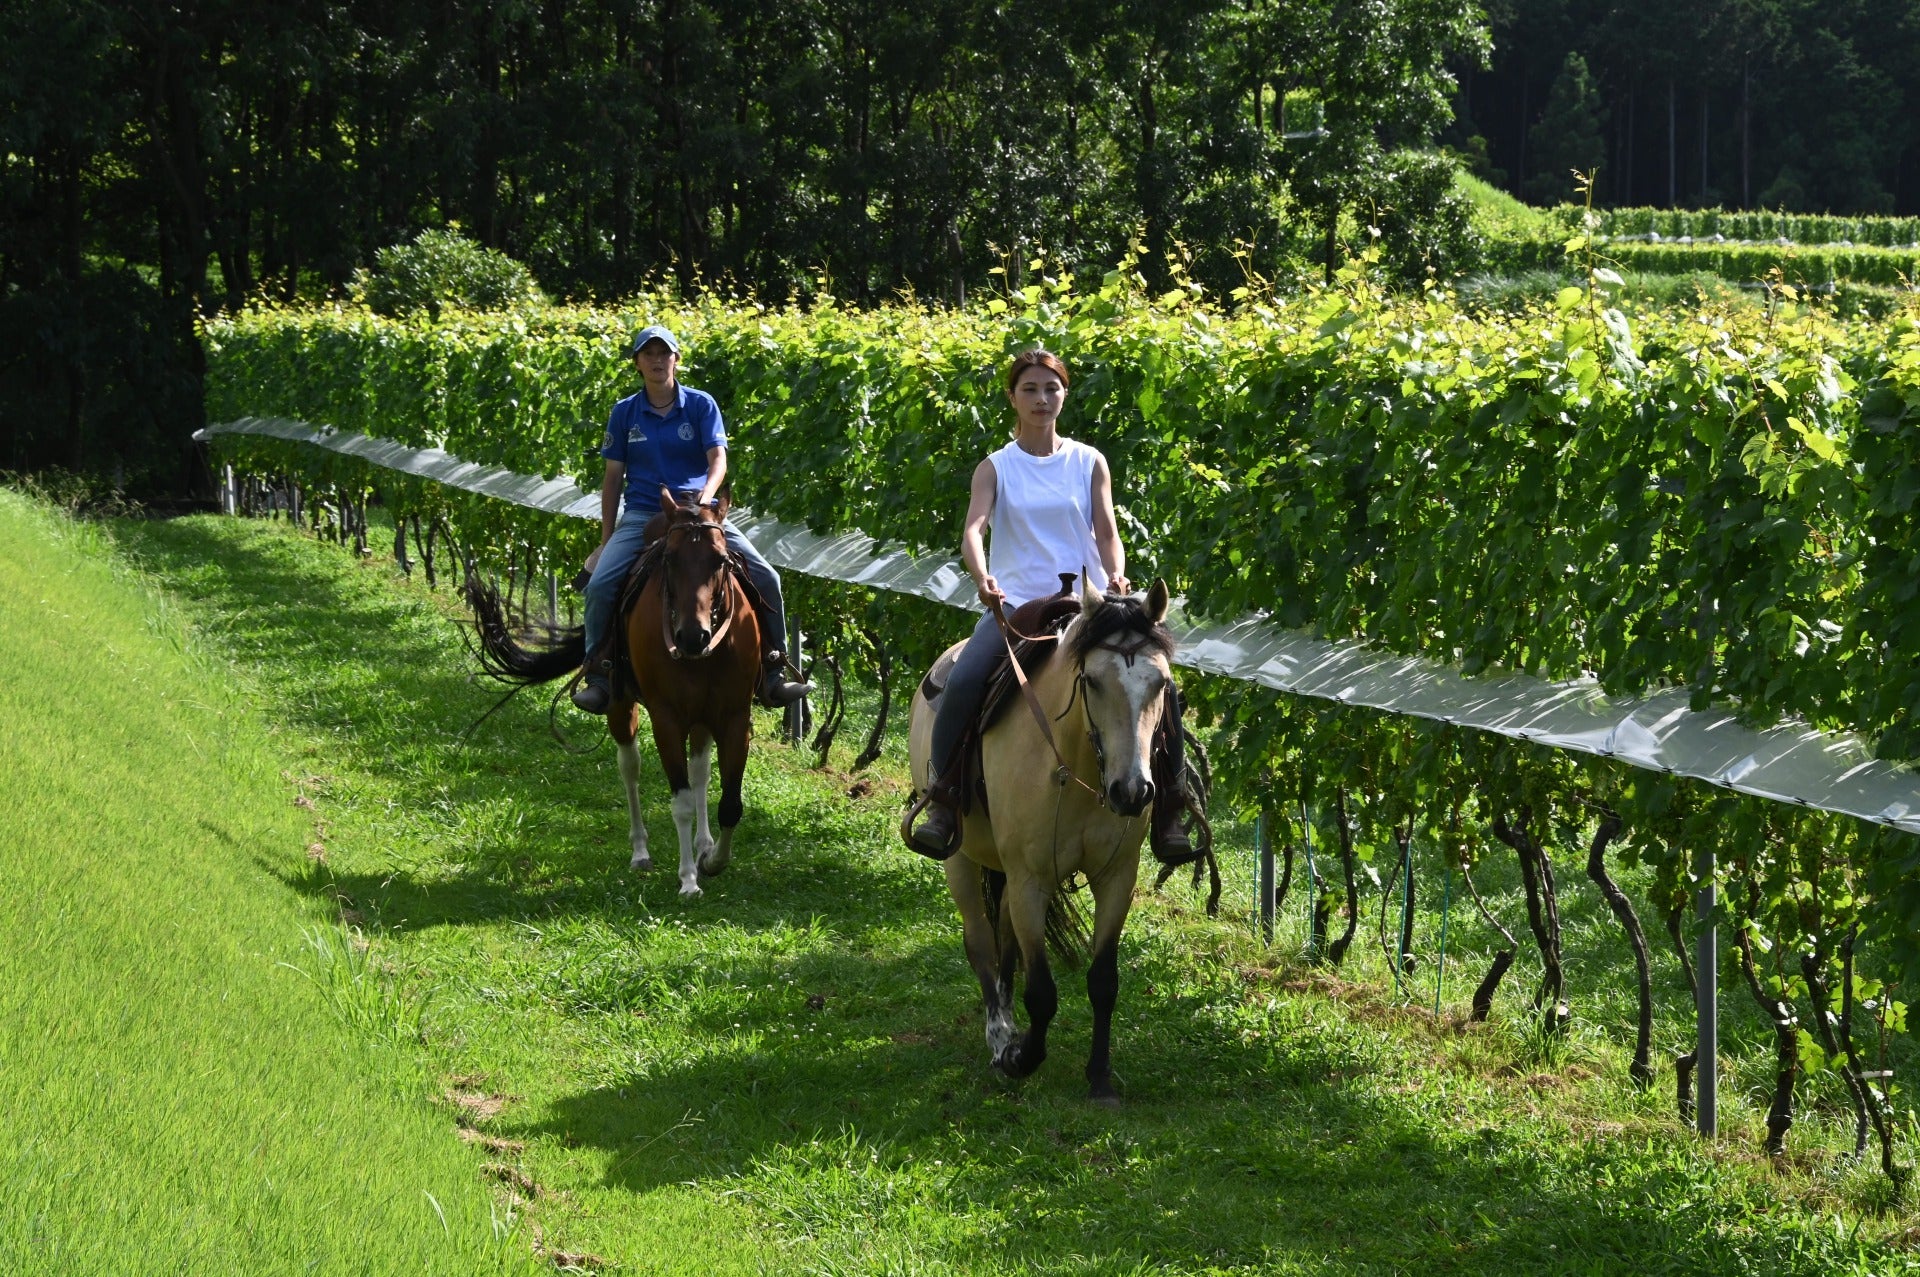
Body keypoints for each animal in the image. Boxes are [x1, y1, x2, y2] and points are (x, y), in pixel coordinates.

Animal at [464, 487, 756, 894]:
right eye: (669, 559)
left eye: (720, 560)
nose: (692, 637)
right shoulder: (666, 719)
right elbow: (679, 802)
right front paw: (688, 879)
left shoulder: (734, 717)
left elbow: (730, 802)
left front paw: (712, 860)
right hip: (621, 706)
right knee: (630, 768)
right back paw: (641, 852)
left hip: (700, 718)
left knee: (699, 772)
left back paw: (703, 844)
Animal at [906, 576, 1175, 1098]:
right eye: (1092, 681)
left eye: (1161, 683)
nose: (1132, 791)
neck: (1077, 766)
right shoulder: (1031, 880)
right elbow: (1043, 992)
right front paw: (1019, 1058)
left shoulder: (1116, 879)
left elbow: (1103, 981)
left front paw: (1100, 1078)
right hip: (961, 860)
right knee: (981, 942)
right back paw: (999, 1036)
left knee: (1006, 942)